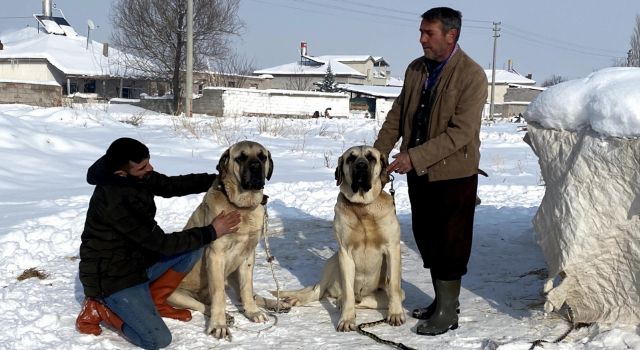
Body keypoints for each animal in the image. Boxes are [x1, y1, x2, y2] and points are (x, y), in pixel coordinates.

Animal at [276, 145, 404, 330]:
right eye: (351, 158)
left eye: (371, 158)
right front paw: (347, 319)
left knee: (367, 299)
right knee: (318, 292)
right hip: (331, 262)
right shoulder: (345, 252)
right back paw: (298, 299)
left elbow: (393, 286)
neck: (362, 207)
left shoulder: (392, 248)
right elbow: (348, 290)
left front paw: (395, 314)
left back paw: (343, 301)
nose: (361, 166)